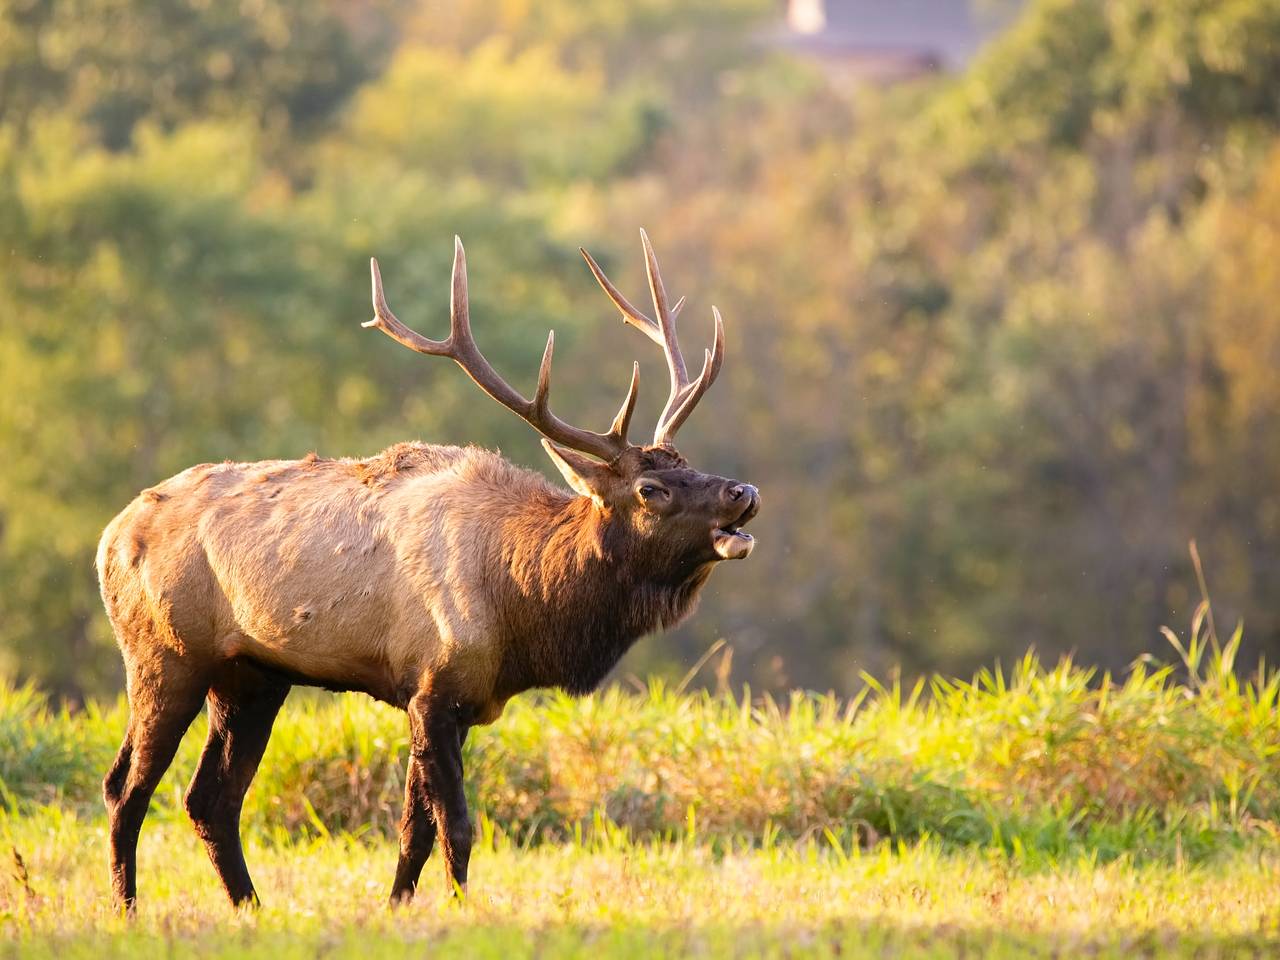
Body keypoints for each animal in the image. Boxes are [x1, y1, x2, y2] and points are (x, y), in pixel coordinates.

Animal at [102, 229, 757, 911]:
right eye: (652, 489)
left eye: (690, 463)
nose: (743, 492)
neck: (524, 609)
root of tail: (110, 536)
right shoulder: (433, 686)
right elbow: (457, 826)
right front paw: (460, 909)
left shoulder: (454, 701)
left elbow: (413, 830)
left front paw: (396, 906)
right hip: (164, 654)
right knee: (127, 788)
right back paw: (128, 908)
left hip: (251, 676)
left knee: (210, 799)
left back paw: (250, 907)